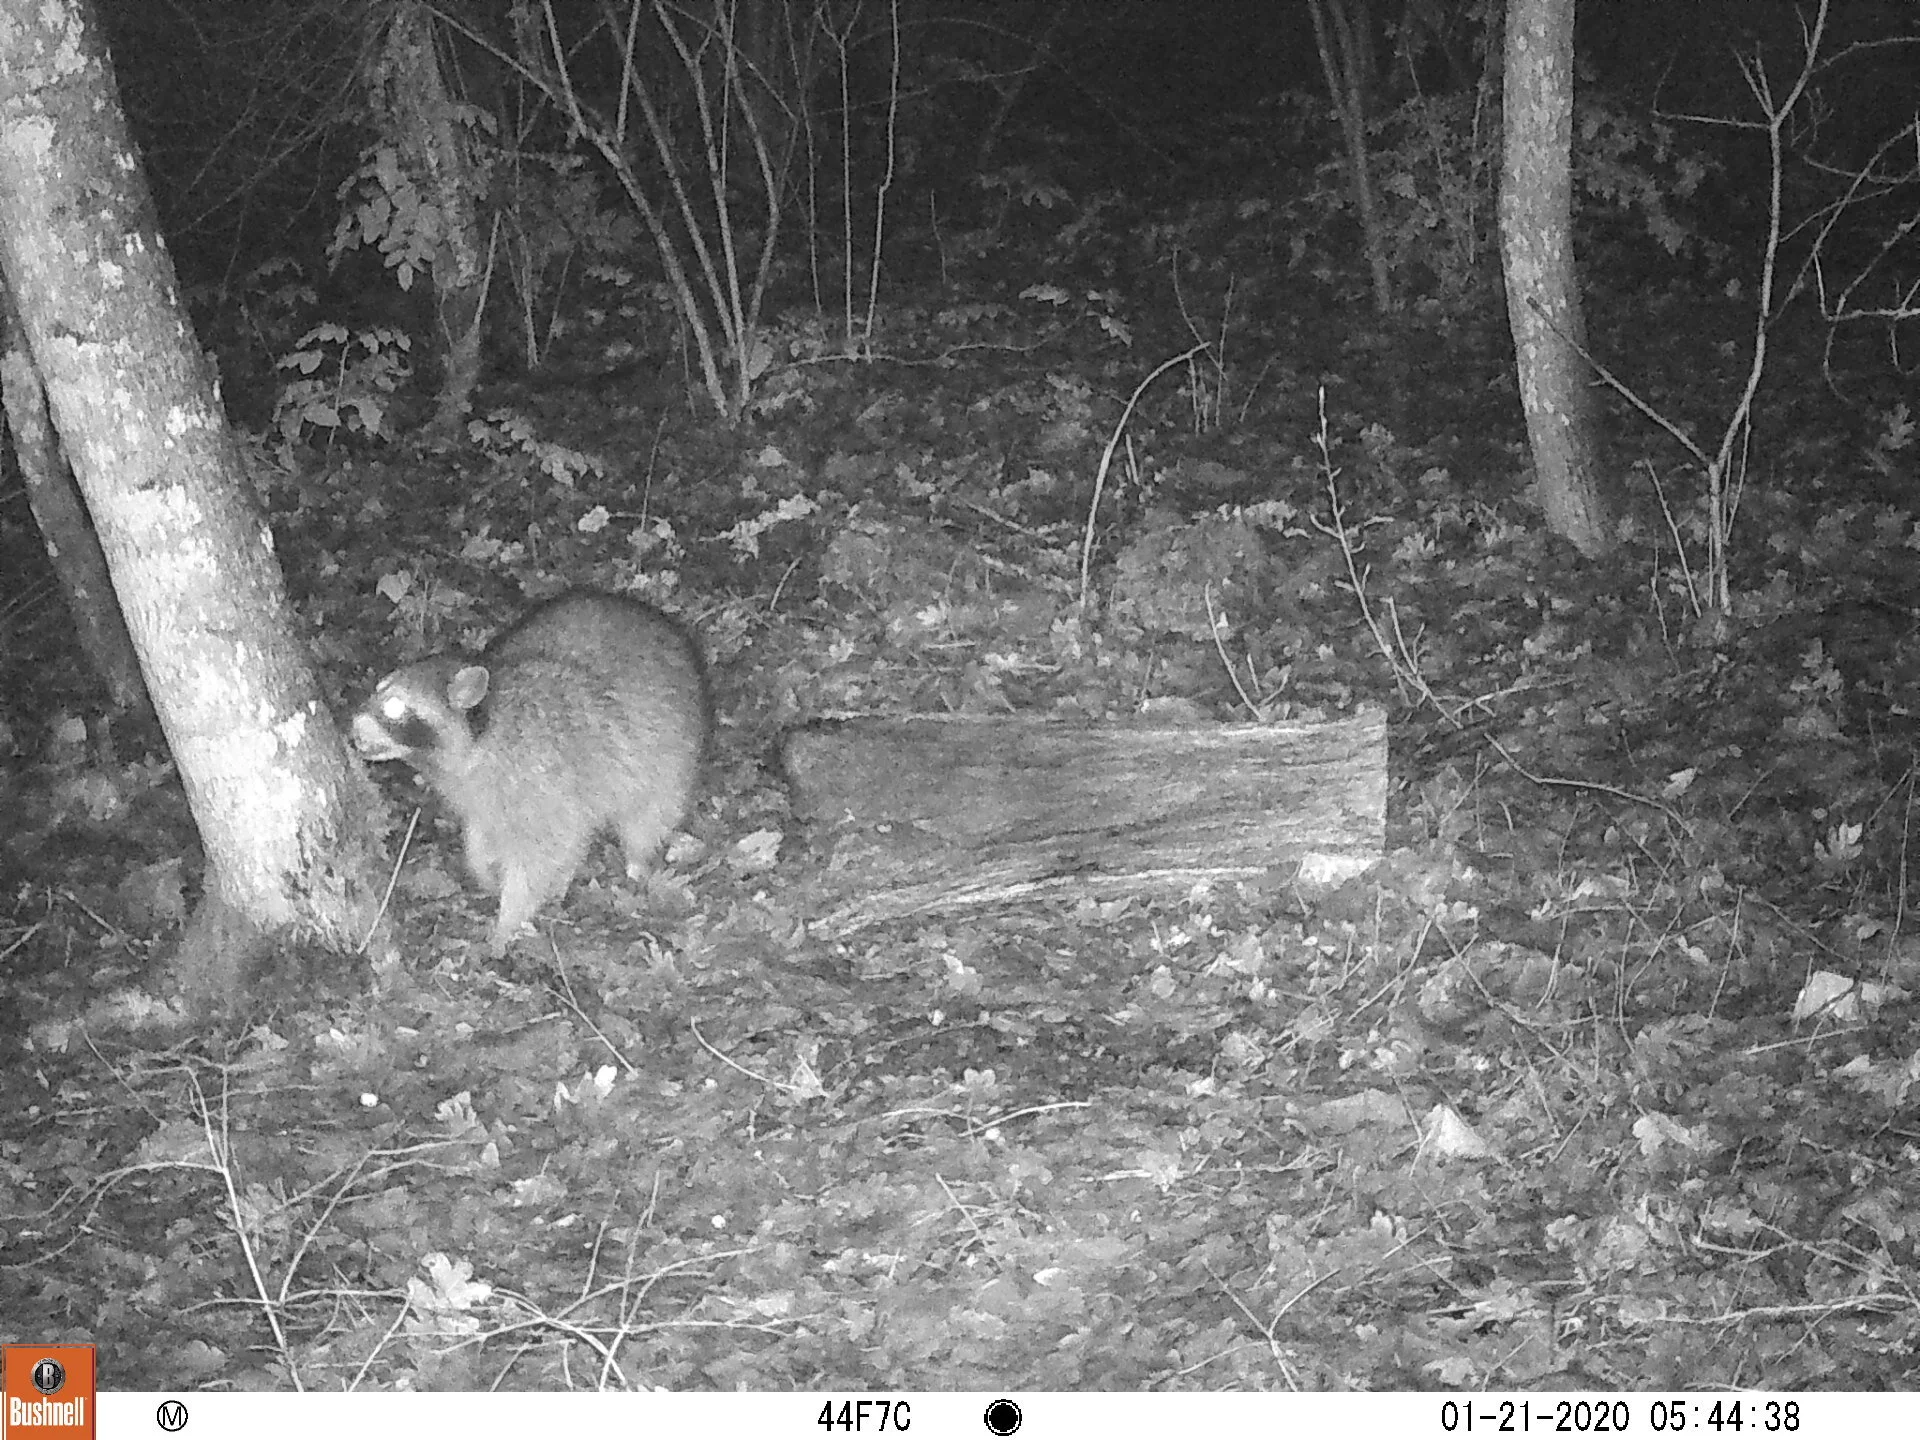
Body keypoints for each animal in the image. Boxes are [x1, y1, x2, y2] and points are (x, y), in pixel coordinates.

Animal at [351, 590, 711, 954]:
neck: (483, 728)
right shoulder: (478, 793)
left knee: (647, 816)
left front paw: (508, 917)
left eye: (395, 710)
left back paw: (637, 857)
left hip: (670, 756)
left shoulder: (539, 780)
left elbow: (539, 855)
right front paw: (482, 869)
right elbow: (480, 833)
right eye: (378, 690)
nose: (353, 731)